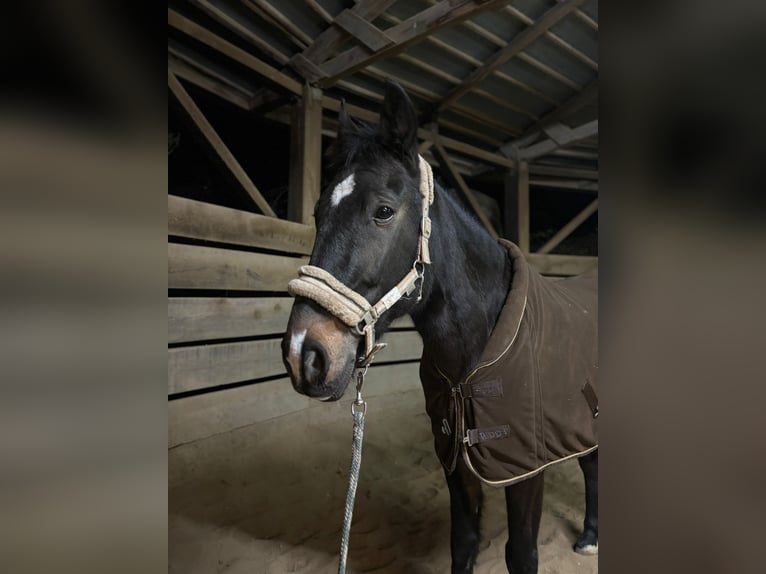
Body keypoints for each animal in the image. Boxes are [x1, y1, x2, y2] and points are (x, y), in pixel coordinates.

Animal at [284, 81, 600, 574]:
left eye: (383, 210)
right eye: (318, 213)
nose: (306, 354)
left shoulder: (526, 468)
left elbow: (521, 553)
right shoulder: (454, 460)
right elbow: (464, 542)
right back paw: (588, 536)